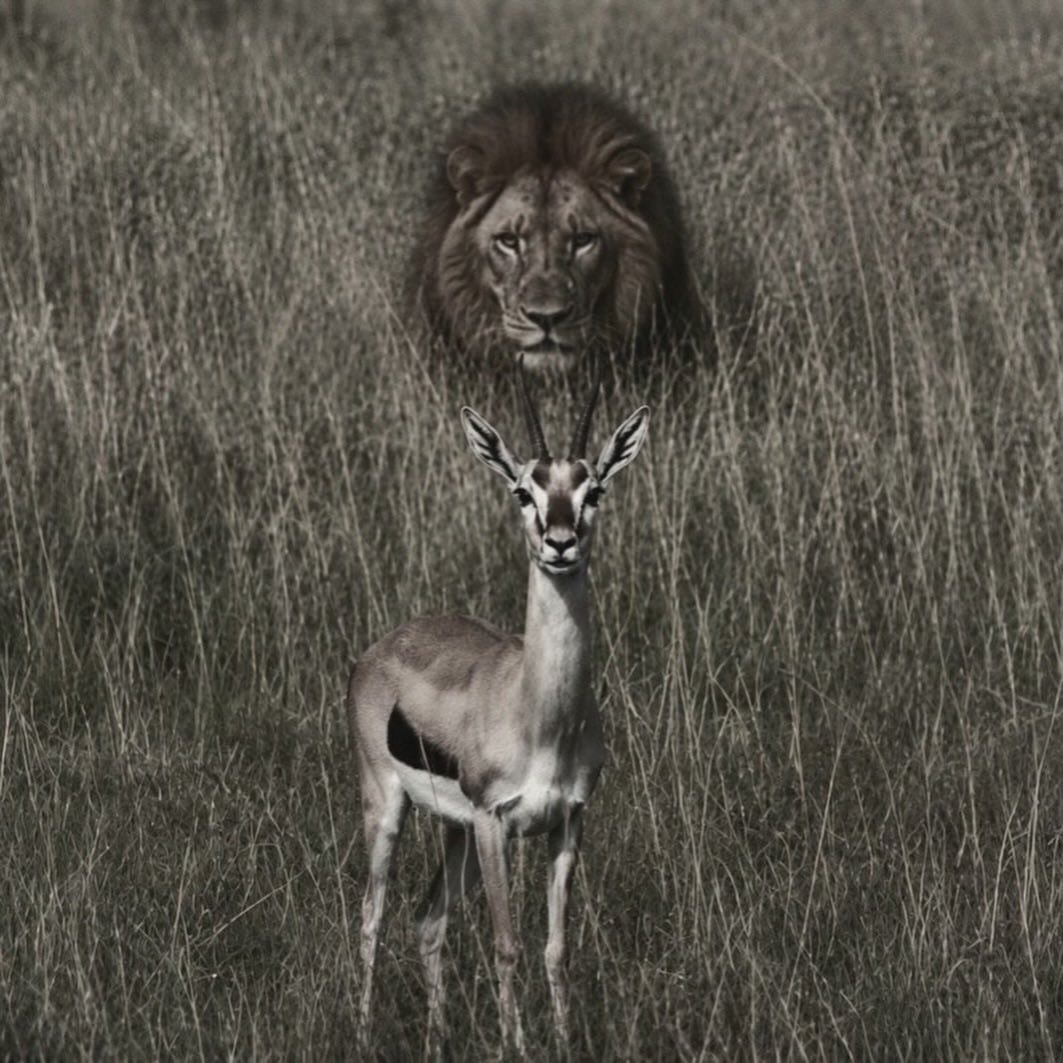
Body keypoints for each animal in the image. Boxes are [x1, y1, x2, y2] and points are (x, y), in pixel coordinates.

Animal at [347, 360, 649, 1051]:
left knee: (427, 921)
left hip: (453, 831)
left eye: (593, 491)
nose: (560, 543)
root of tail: (383, 646)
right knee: (372, 917)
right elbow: (507, 945)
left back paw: (435, 1041)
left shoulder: (568, 822)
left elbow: (556, 949)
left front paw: (563, 1043)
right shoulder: (495, 823)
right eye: (523, 492)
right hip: (390, 810)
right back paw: (365, 1031)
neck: (538, 716)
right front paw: (517, 1046)